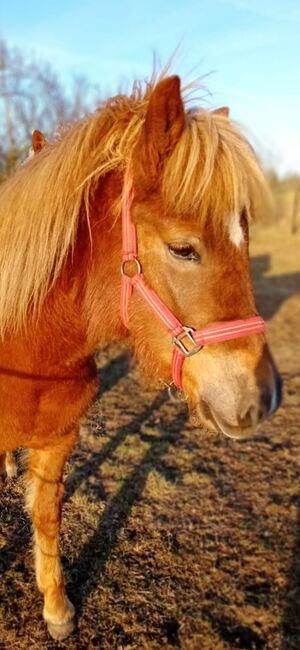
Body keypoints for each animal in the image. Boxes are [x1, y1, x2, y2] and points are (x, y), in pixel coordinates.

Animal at [0, 73, 282, 636]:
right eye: (183, 249)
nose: (261, 398)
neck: (30, 352)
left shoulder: (58, 442)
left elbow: (47, 514)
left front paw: (57, 608)